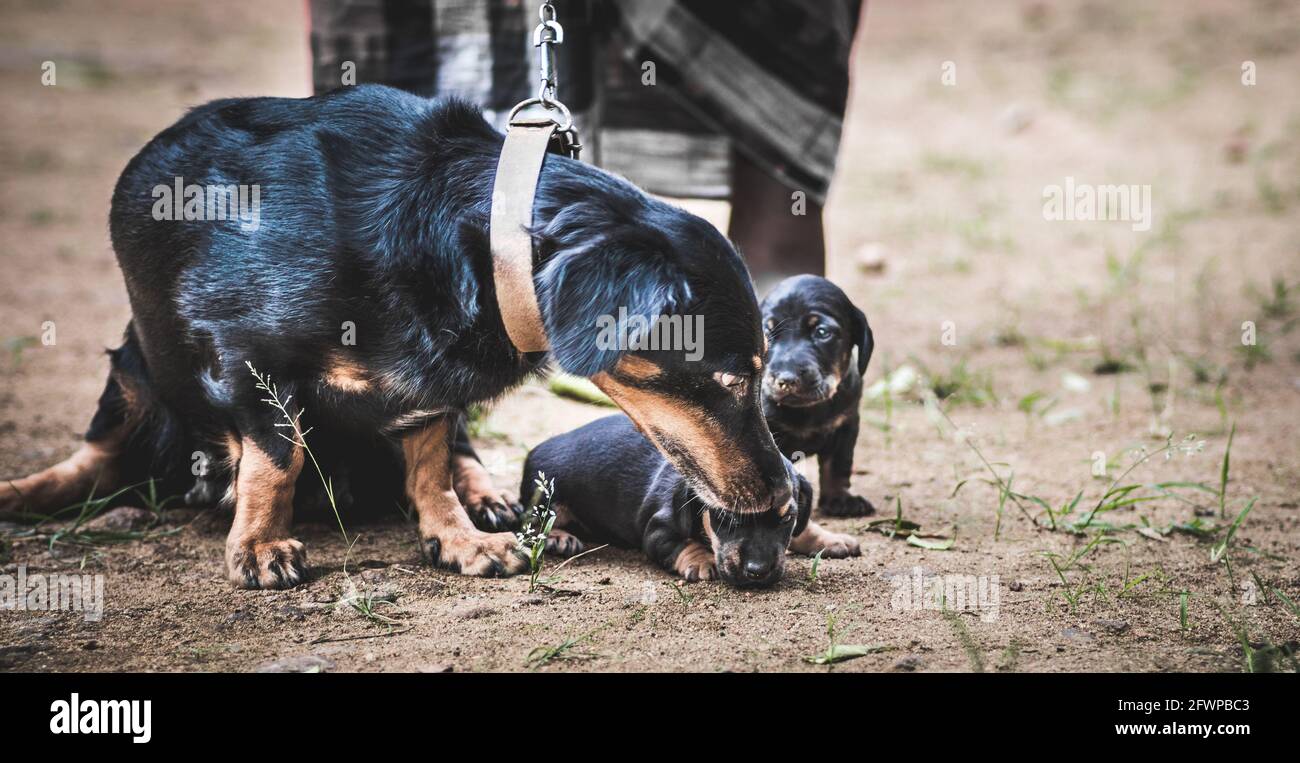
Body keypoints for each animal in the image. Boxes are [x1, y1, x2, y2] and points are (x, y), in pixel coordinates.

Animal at [0, 85, 790, 590]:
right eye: (730, 380)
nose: (784, 490)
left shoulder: (432, 380)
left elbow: (431, 461)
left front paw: (460, 539)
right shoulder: (247, 358)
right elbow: (277, 458)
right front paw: (258, 544)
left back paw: (488, 500)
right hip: (132, 372)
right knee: (99, 457)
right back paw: (25, 491)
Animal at [522, 415, 857, 587]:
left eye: (786, 519)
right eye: (728, 517)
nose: (758, 572)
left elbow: (805, 527)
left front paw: (830, 538)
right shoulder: (656, 532)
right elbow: (683, 543)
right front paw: (702, 560)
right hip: (546, 499)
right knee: (531, 525)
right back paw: (560, 537)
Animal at [759, 278, 878, 517]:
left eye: (822, 332)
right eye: (767, 332)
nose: (787, 379)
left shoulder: (846, 425)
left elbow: (838, 466)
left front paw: (840, 499)